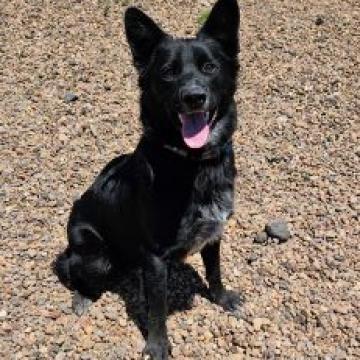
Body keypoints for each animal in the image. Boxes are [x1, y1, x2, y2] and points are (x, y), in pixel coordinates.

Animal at [54, 1, 242, 358]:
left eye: (209, 67)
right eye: (168, 72)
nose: (194, 97)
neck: (191, 163)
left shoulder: (213, 232)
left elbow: (215, 271)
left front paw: (222, 298)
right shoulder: (155, 258)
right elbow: (157, 310)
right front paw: (157, 345)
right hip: (95, 255)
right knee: (72, 268)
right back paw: (82, 296)